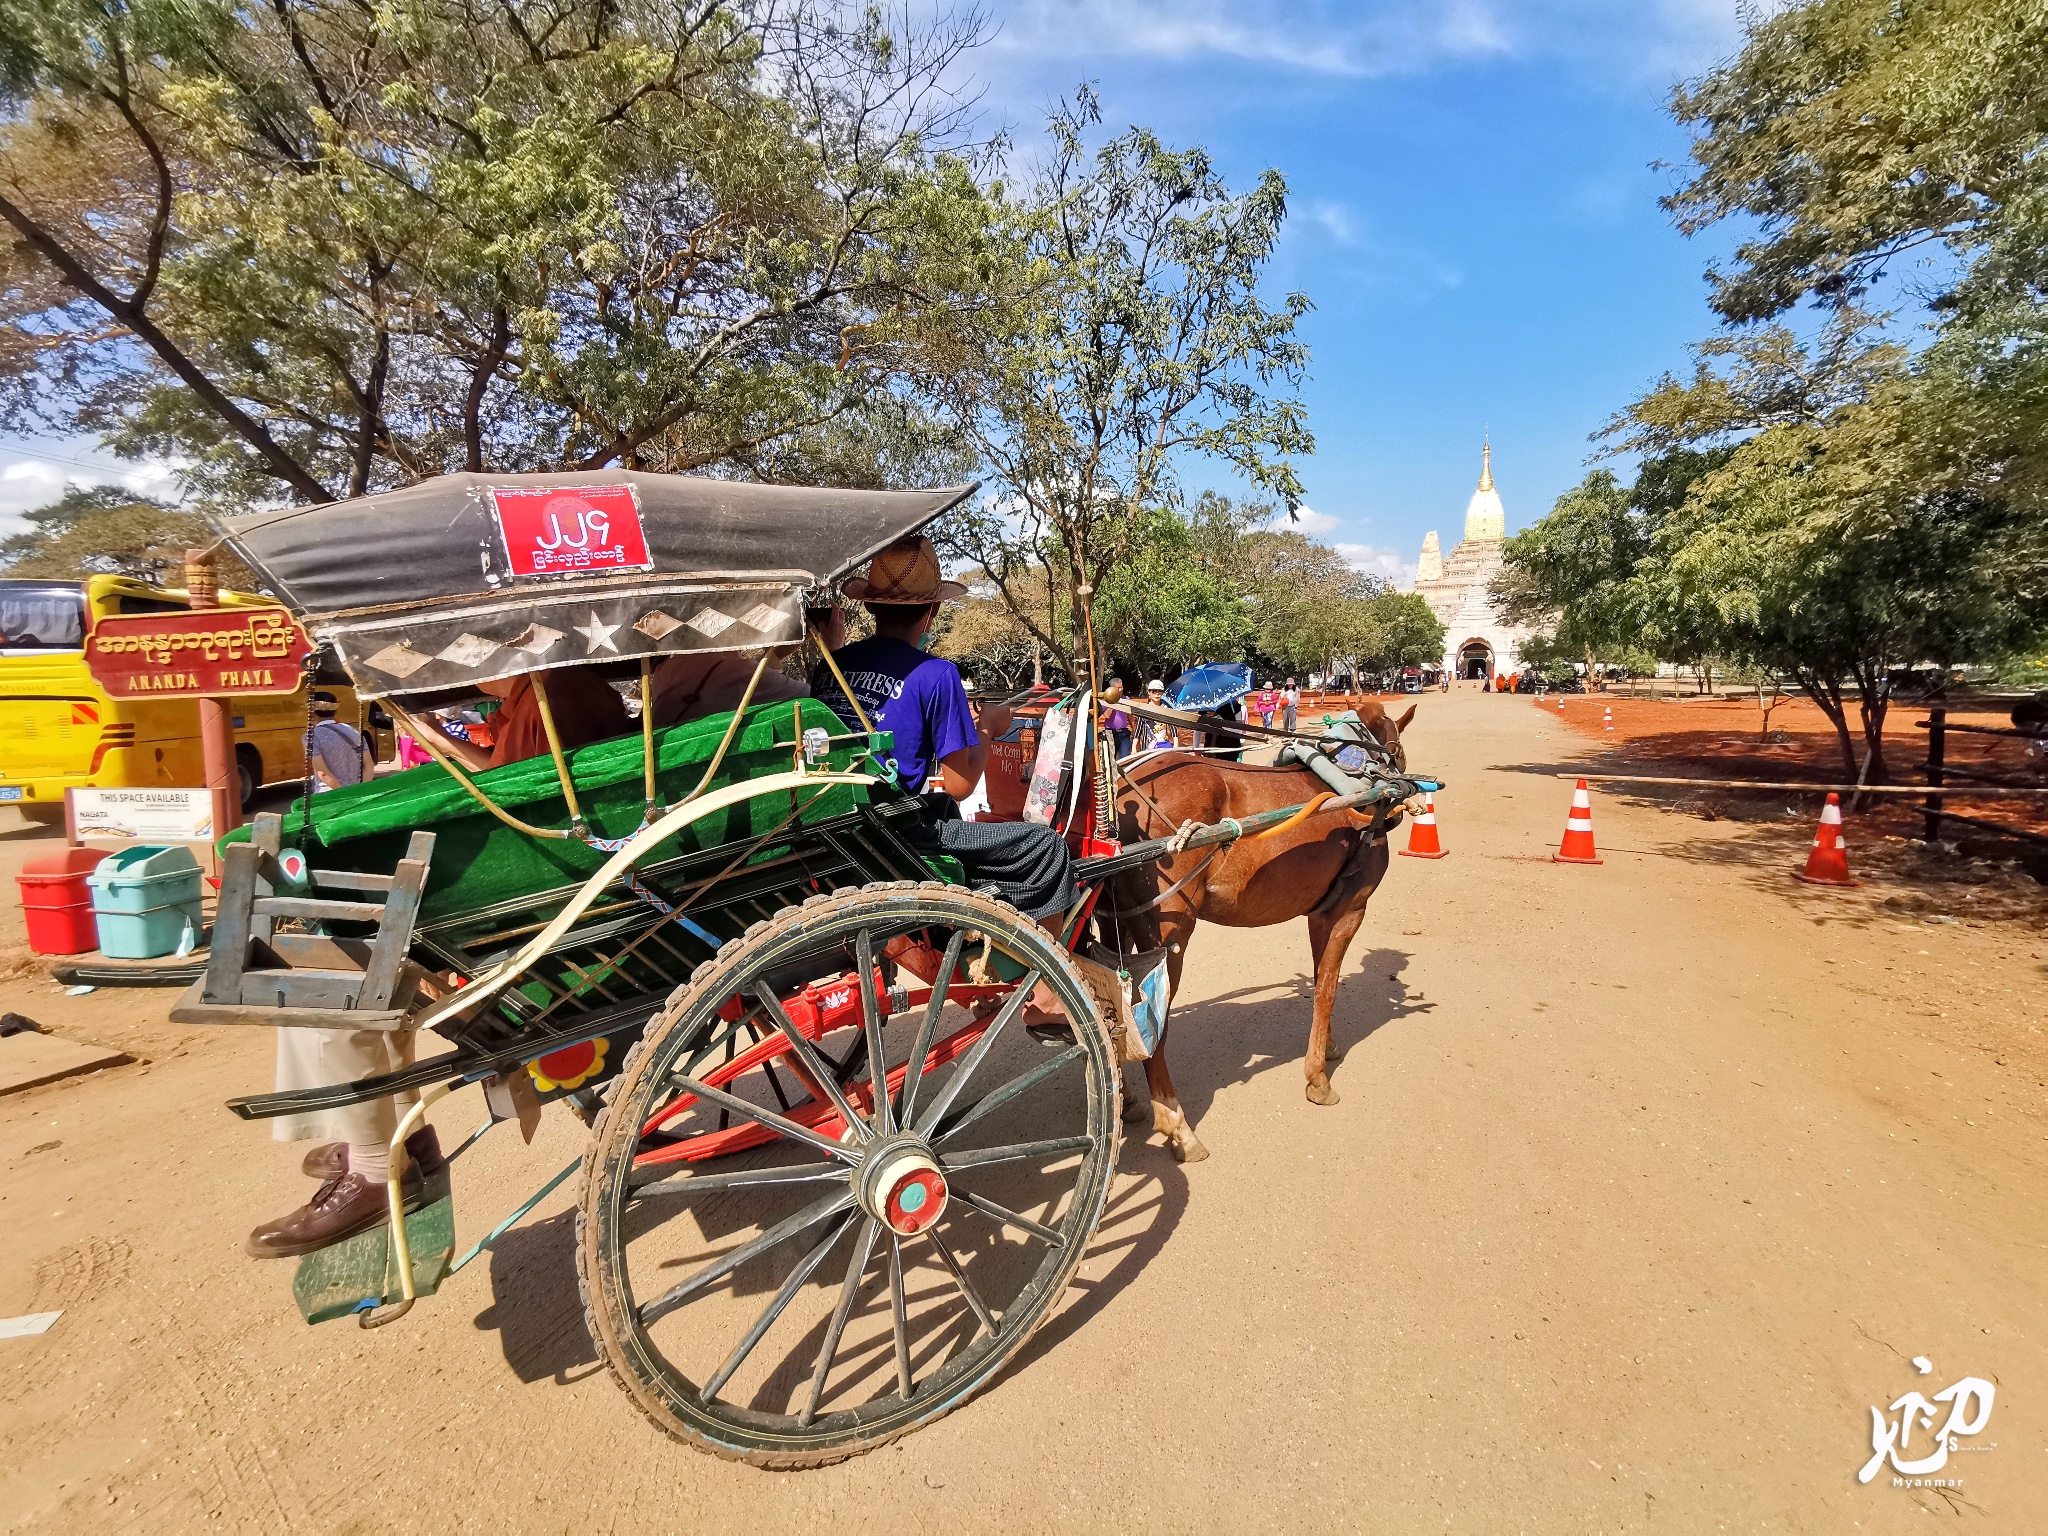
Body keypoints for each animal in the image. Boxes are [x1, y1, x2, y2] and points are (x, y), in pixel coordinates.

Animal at [1097, 704, 1417, 1163]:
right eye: (1397, 748)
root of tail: (1124, 791)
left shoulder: (1321, 914)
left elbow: (1321, 979)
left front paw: (1326, 1048)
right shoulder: (1349, 910)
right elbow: (1327, 989)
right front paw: (1318, 1079)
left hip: (1114, 924)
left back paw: (1128, 1100)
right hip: (1166, 936)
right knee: (1153, 1023)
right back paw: (1177, 1126)